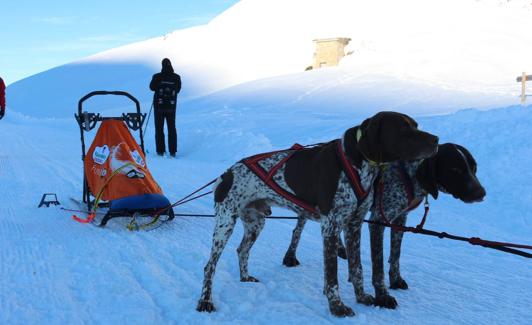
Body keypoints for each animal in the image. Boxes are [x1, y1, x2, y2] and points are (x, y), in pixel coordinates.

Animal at [197, 111, 438, 316]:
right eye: (403, 129)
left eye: (416, 125)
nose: (436, 140)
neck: (357, 164)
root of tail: (226, 173)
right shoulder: (330, 227)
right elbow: (332, 275)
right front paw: (337, 307)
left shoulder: (354, 224)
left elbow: (357, 267)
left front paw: (362, 297)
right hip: (225, 224)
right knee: (210, 266)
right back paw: (205, 301)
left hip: (256, 223)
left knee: (242, 250)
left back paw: (245, 277)